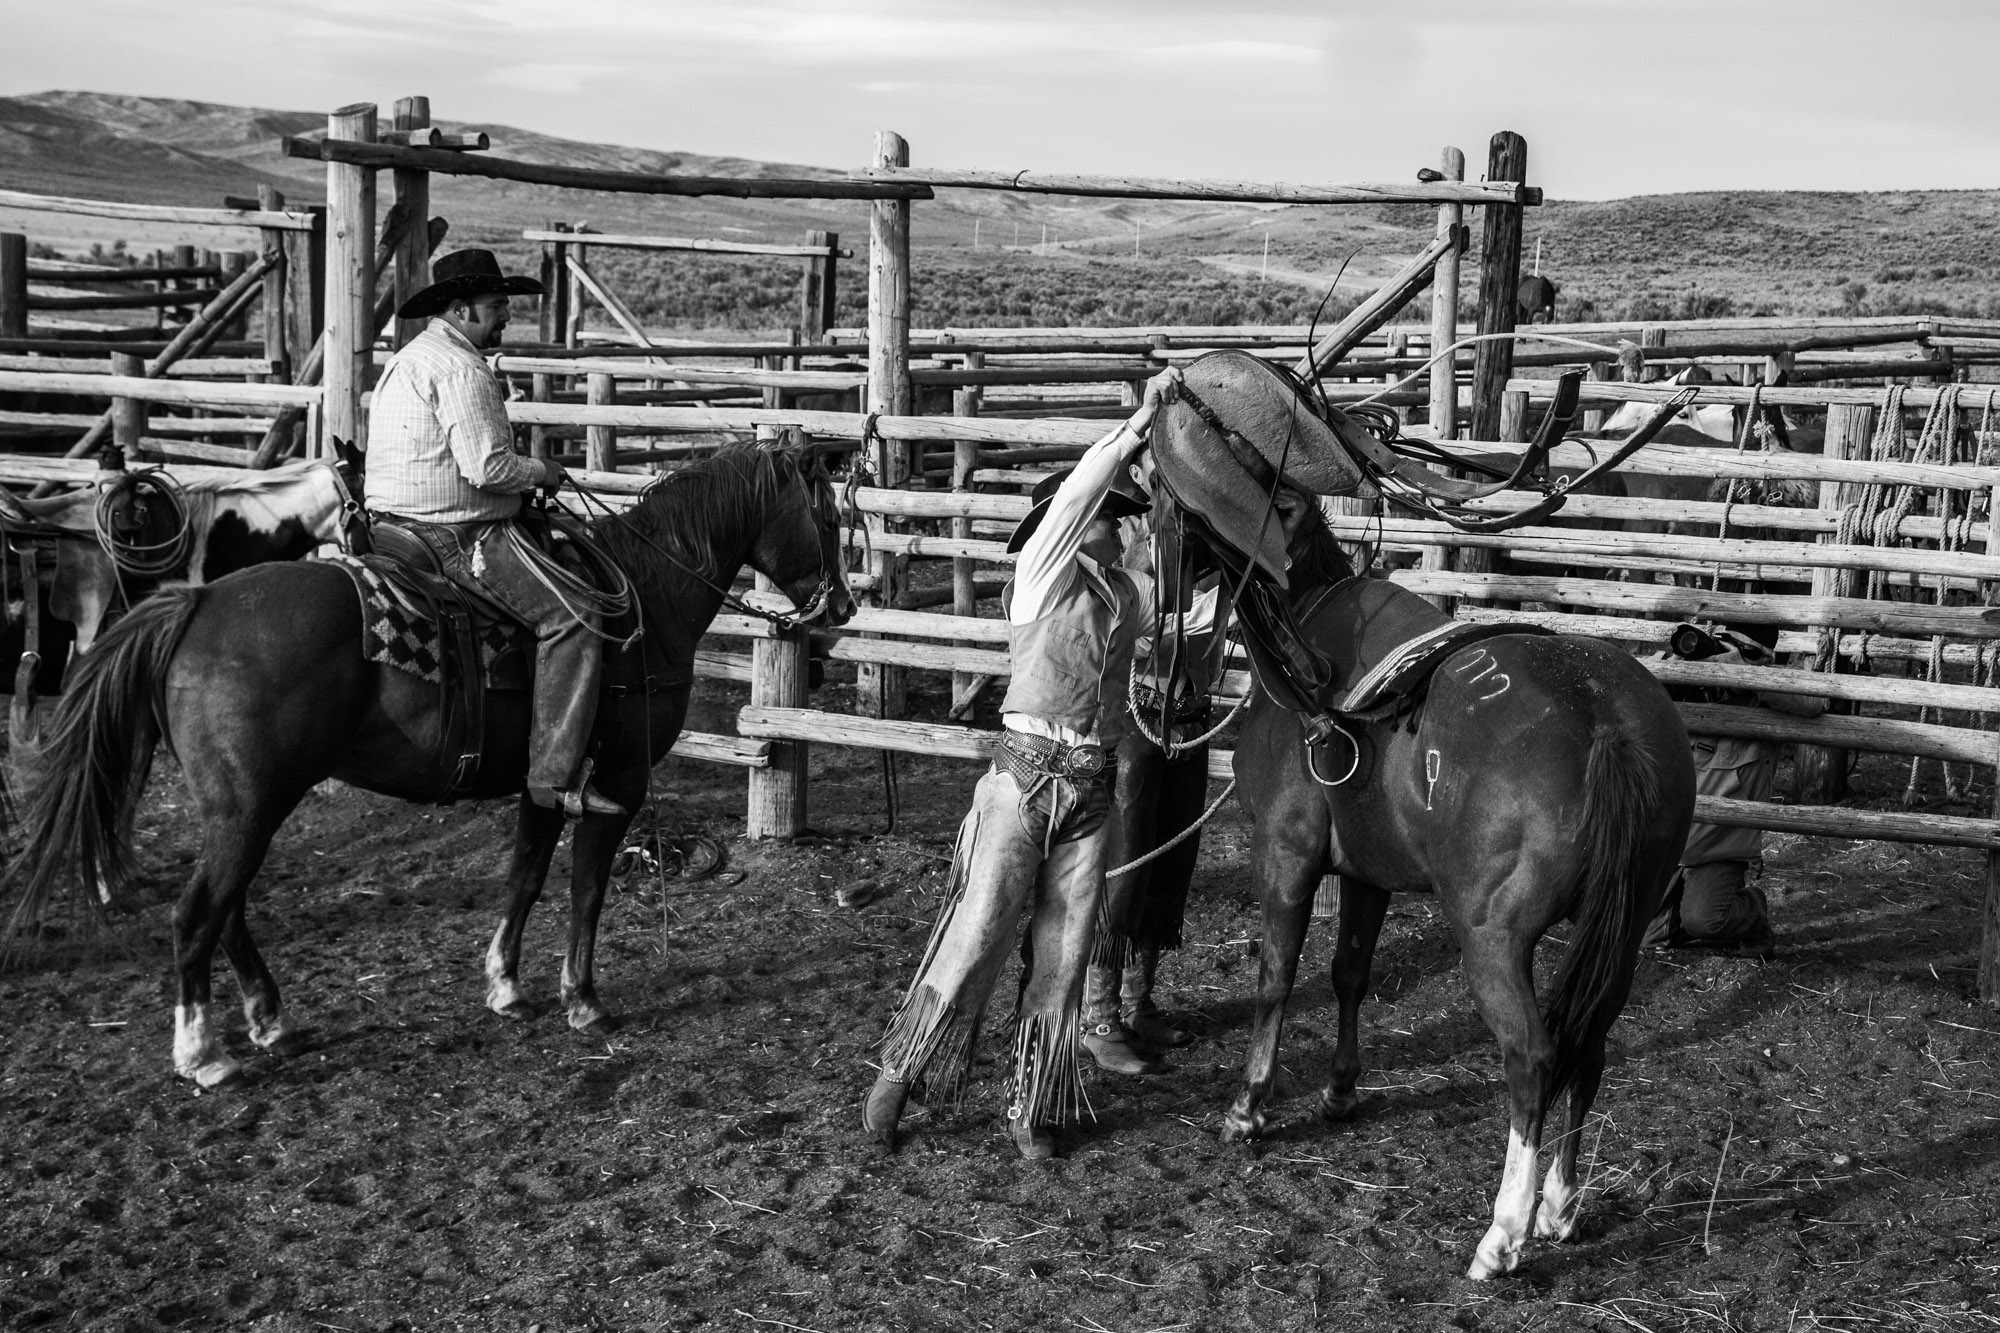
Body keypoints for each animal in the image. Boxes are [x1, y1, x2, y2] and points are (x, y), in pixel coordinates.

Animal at [0, 440, 848, 1088]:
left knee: (227, 908)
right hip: (249, 806)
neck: (648, 594)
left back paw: (271, 1019)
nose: (839, 607)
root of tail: (196, 605)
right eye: (830, 516)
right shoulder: (616, 781)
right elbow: (587, 888)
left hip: (240, 806)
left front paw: (506, 986)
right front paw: (582, 998)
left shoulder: (547, 779)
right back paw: (205, 1055)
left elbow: (525, 877)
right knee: (196, 912)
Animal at [1216, 498, 1688, 1280]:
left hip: (1492, 942)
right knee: (1588, 1046)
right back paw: (1560, 1205)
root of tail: (1604, 723)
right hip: (1619, 936)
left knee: (1533, 1059)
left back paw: (1504, 1234)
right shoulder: (1367, 874)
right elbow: (1350, 973)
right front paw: (1340, 1089)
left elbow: (1275, 977)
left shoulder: (1284, 854)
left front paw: (1250, 1106)